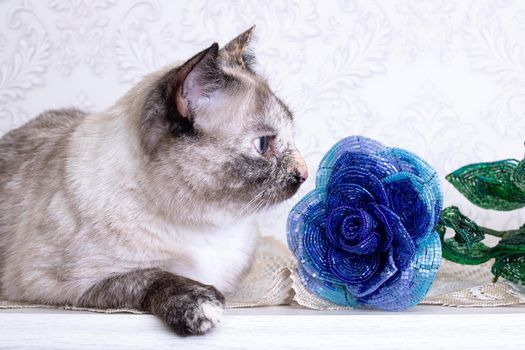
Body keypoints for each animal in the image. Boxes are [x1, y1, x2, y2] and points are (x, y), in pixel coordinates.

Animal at [0, 26, 308, 334]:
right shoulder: (66, 285)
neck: (209, 227)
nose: (304, 174)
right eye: (263, 144)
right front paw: (201, 305)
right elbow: (152, 276)